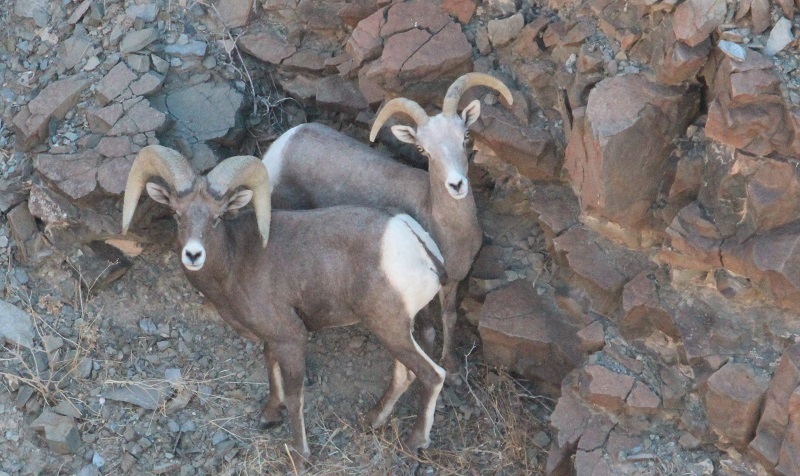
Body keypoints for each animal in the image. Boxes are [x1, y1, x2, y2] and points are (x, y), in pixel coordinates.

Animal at [121, 145, 448, 463]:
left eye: (216, 218)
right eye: (177, 214)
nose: (192, 255)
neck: (234, 261)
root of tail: (418, 245)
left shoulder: (291, 338)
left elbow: (294, 397)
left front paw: (301, 456)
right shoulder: (273, 337)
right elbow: (270, 364)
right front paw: (269, 415)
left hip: (389, 328)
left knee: (433, 375)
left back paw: (415, 442)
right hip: (398, 331)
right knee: (404, 375)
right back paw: (371, 420)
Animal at [262, 73, 513, 375]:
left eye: (464, 136)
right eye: (423, 150)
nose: (456, 185)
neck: (445, 227)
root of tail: (279, 148)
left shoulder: (452, 282)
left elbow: (450, 318)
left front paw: (451, 367)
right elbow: (428, 331)